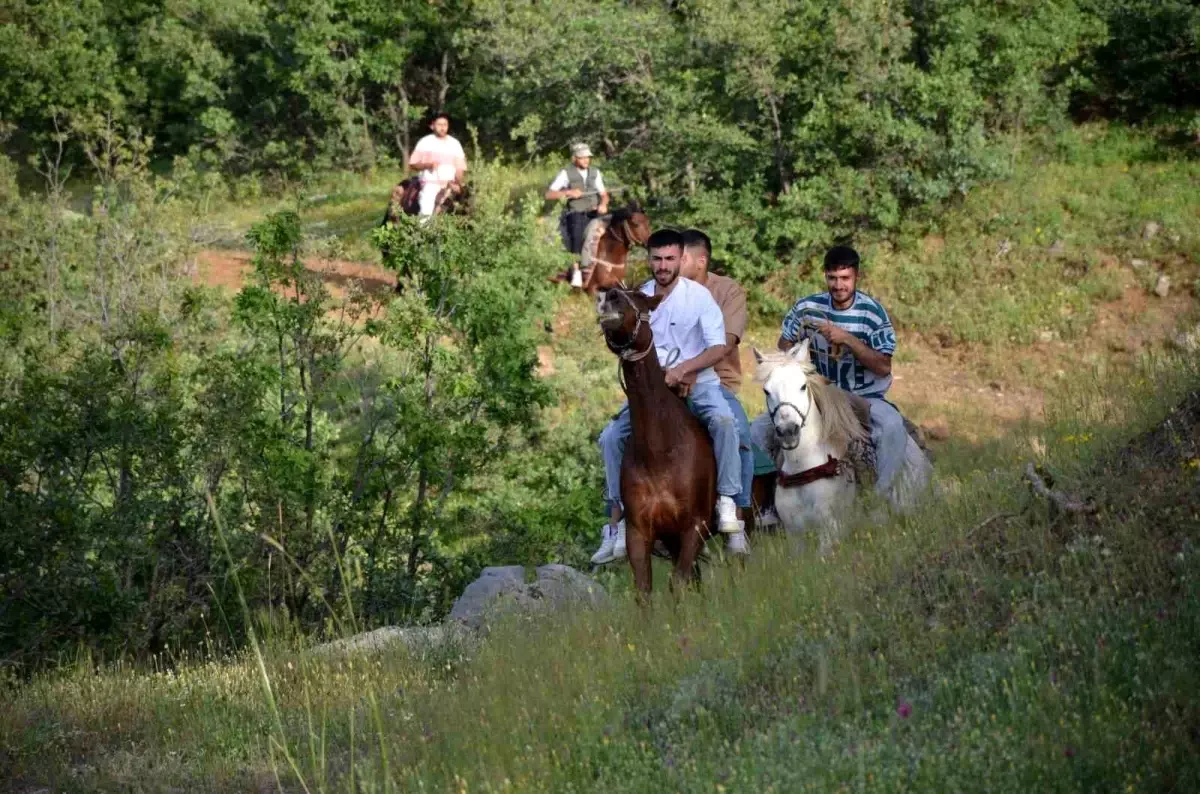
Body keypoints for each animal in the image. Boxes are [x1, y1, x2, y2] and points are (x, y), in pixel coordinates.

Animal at [597, 287, 715, 597]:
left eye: (640, 298)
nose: (609, 295)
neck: (660, 453)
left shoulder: (694, 527)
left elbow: (678, 583)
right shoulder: (640, 533)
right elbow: (645, 589)